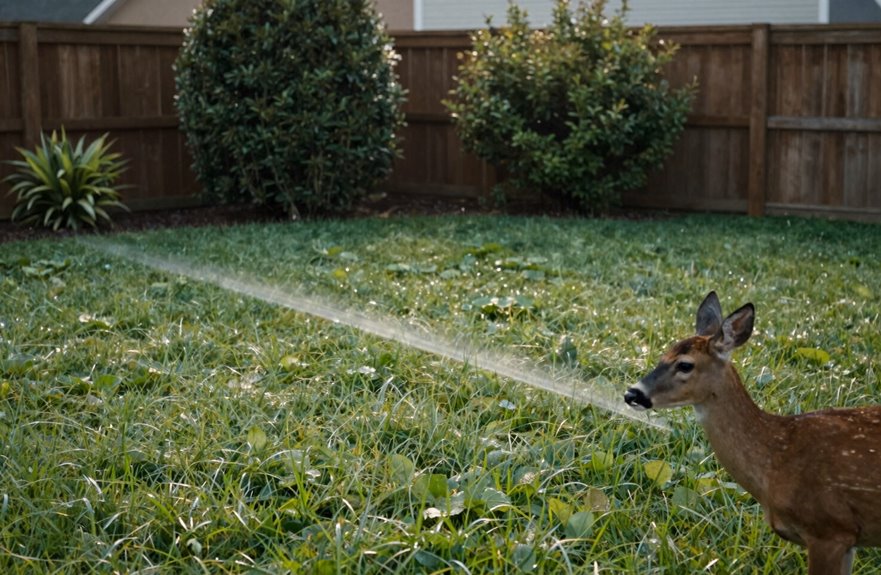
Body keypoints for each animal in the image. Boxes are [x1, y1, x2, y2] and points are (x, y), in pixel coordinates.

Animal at [624, 292, 881, 575]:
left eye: (685, 365)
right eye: (662, 355)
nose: (632, 393)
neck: (777, 461)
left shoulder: (829, 528)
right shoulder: (844, 539)